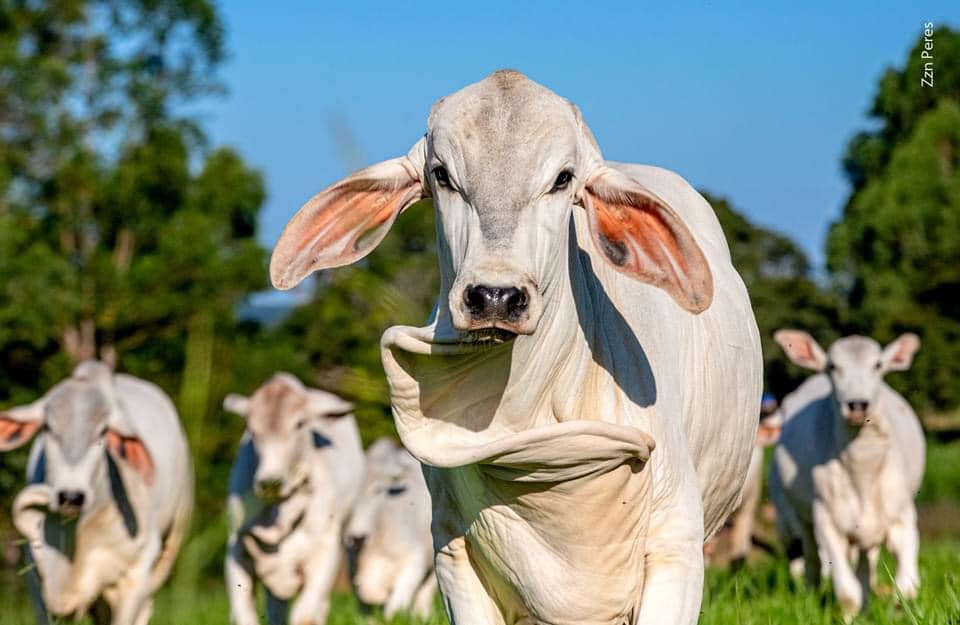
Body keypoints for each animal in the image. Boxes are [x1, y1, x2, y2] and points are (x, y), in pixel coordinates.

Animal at [223, 370, 366, 624]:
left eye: (299, 423)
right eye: (251, 427)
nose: (270, 481)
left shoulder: (325, 550)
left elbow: (306, 615)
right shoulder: (236, 547)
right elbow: (243, 614)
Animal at [764, 332, 924, 620]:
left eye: (878, 365)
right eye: (832, 366)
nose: (857, 405)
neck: (863, 472)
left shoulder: (902, 517)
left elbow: (906, 588)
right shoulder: (827, 520)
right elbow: (847, 594)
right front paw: (850, 617)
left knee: (866, 564)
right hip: (802, 520)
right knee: (812, 560)